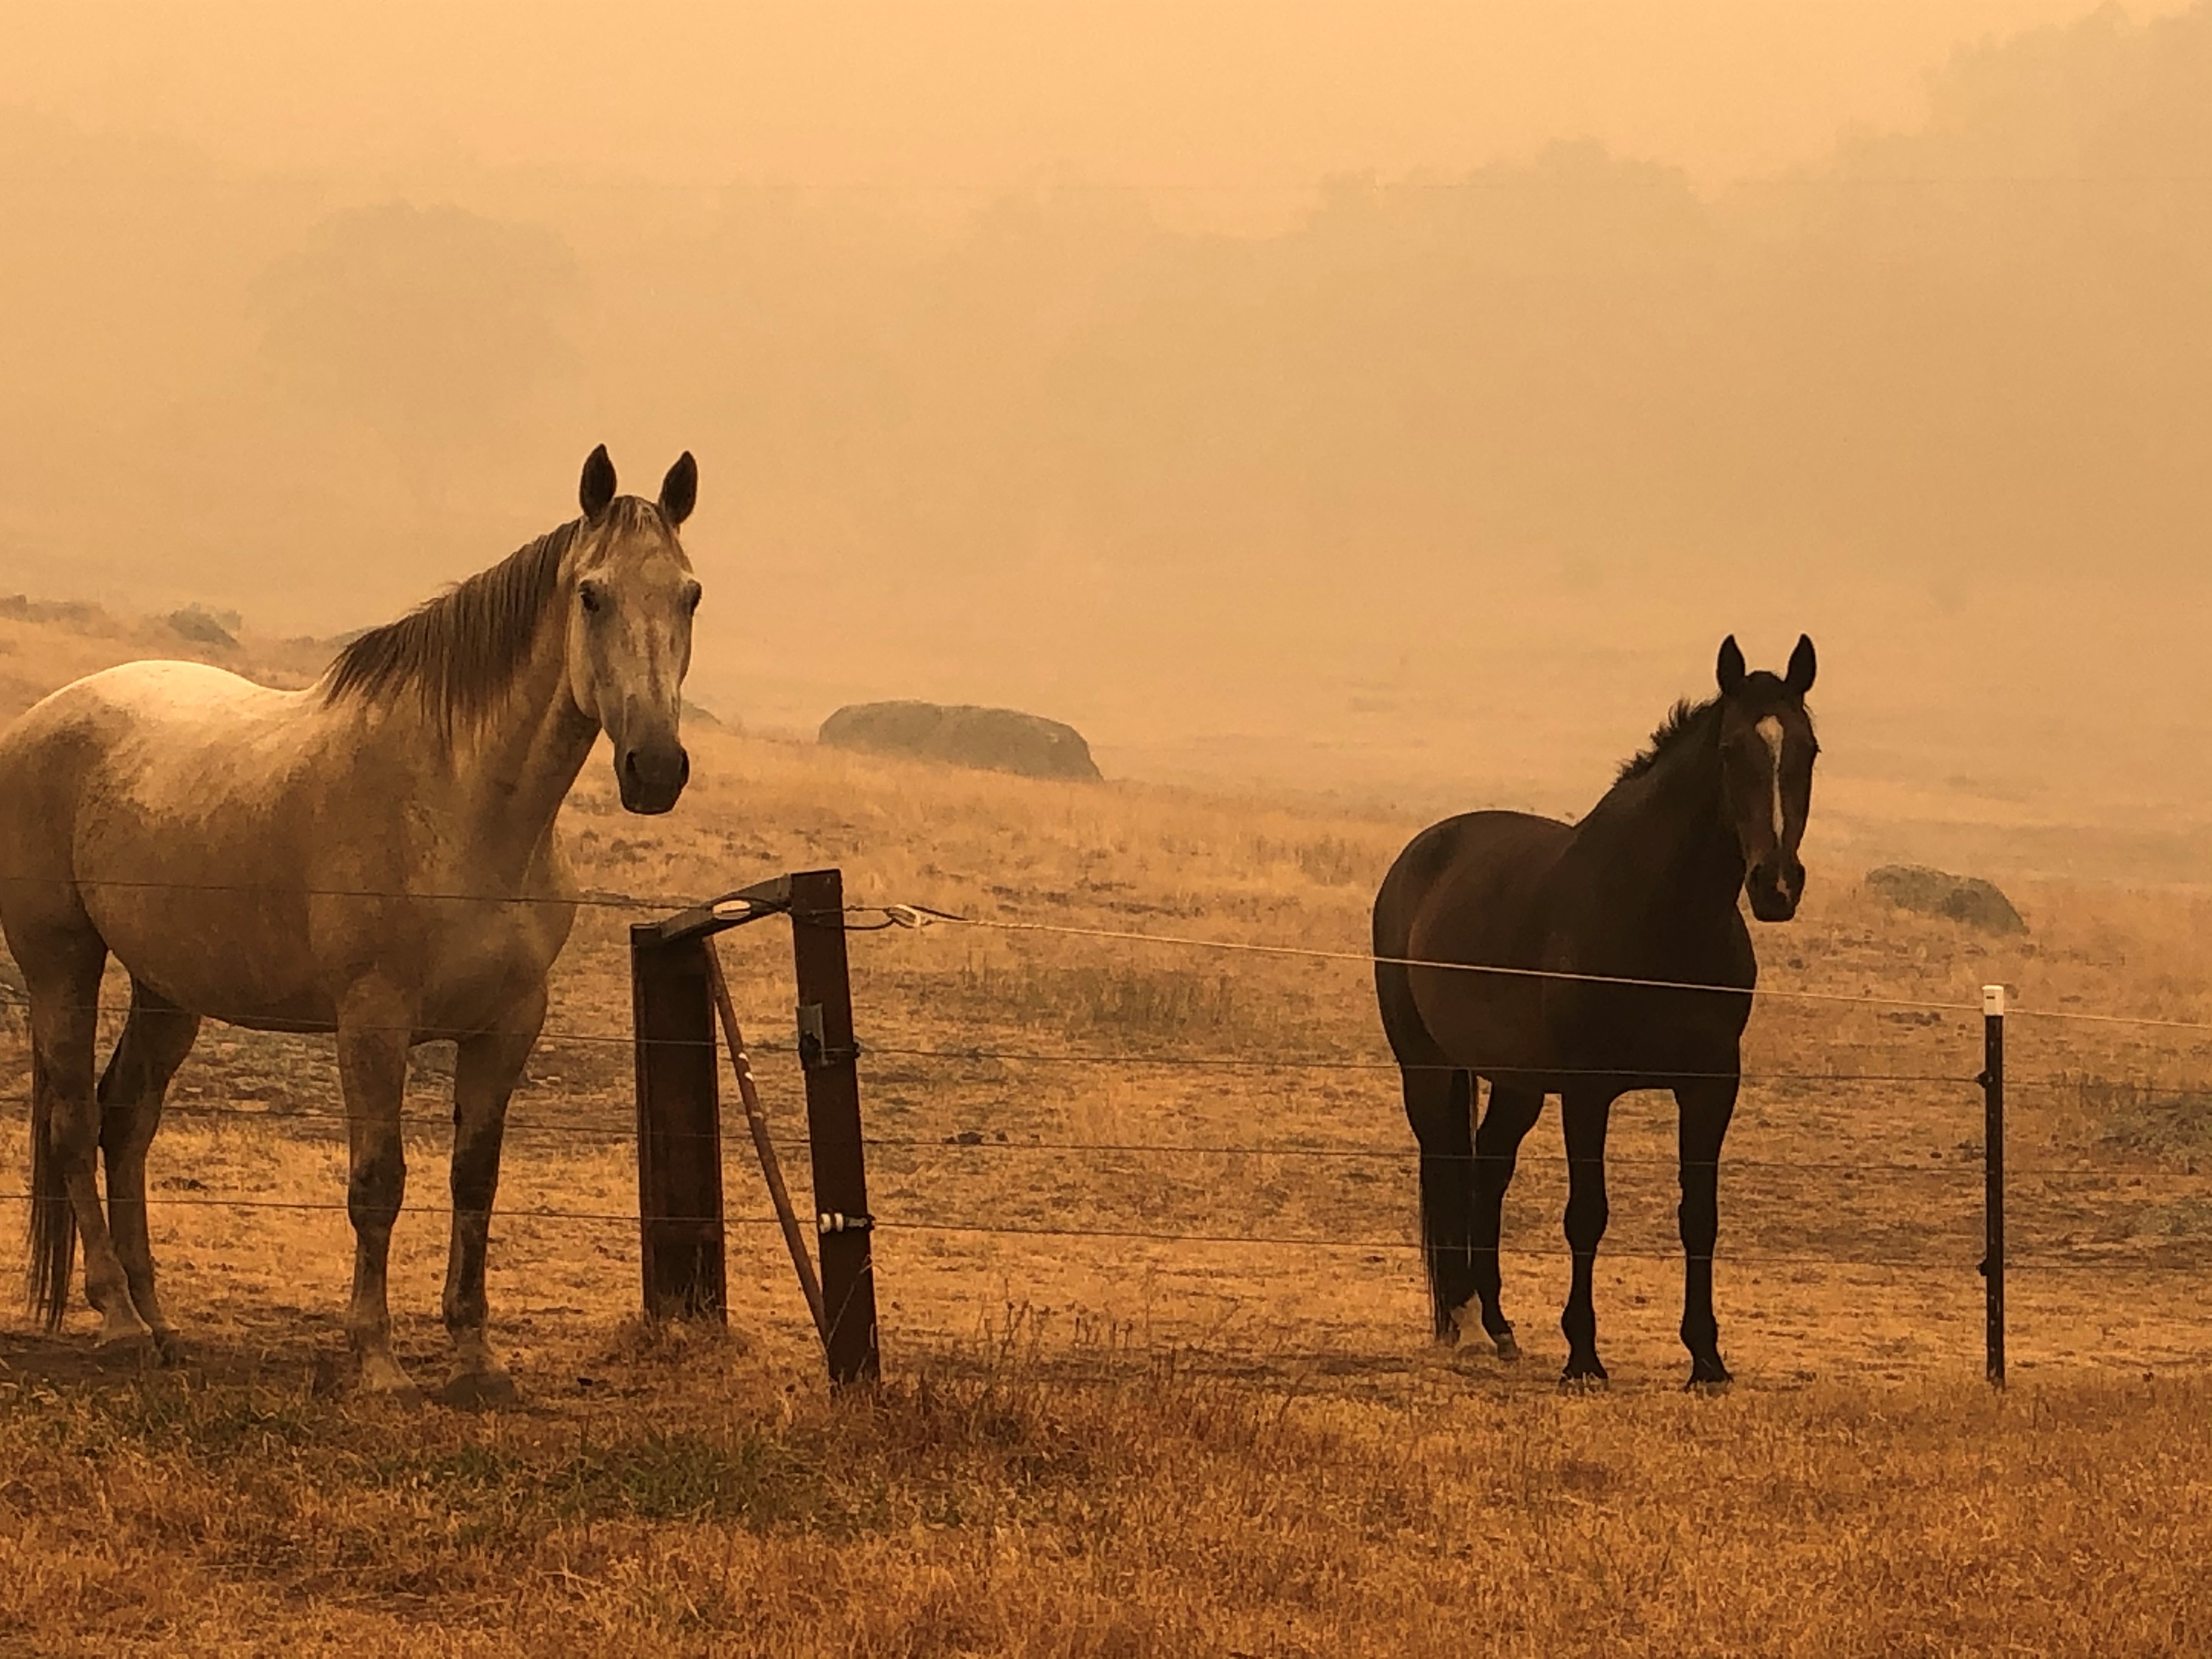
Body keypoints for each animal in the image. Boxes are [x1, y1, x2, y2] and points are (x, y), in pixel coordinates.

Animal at [0, 444, 703, 1407]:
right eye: (592, 595)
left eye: (690, 595)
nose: (656, 768)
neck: (461, 806)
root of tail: (39, 721)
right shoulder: (373, 1022)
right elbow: (380, 1182)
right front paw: (376, 1361)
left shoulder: (509, 1027)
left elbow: (474, 1183)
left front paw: (476, 1360)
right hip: (62, 966)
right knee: (74, 1123)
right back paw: (119, 1324)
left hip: (166, 989)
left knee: (126, 1120)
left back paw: (160, 1321)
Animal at [1371, 637, 1822, 1389]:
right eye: (1732, 750)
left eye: (1810, 749)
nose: (1777, 886)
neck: (1658, 919)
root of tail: (1417, 855)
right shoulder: (1588, 1090)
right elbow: (1587, 1214)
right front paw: (1583, 1358)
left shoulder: (1710, 1089)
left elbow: (1700, 1217)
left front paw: (1707, 1362)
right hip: (1428, 1070)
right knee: (1448, 1166)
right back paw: (1463, 1322)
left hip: (1517, 1084)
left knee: (1489, 1171)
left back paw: (1499, 1326)